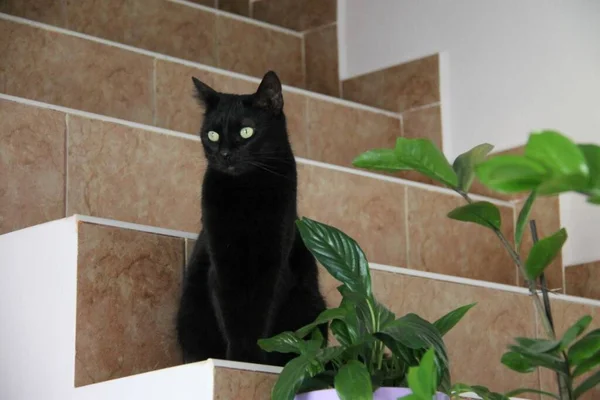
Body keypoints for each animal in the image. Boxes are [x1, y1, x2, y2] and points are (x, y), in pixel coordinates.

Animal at [178, 69, 328, 366]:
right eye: (212, 135)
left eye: (246, 132)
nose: (224, 154)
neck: (246, 194)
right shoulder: (222, 263)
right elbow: (231, 315)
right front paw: (238, 360)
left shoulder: (273, 263)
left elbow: (261, 317)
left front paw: (253, 361)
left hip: (313, 306)